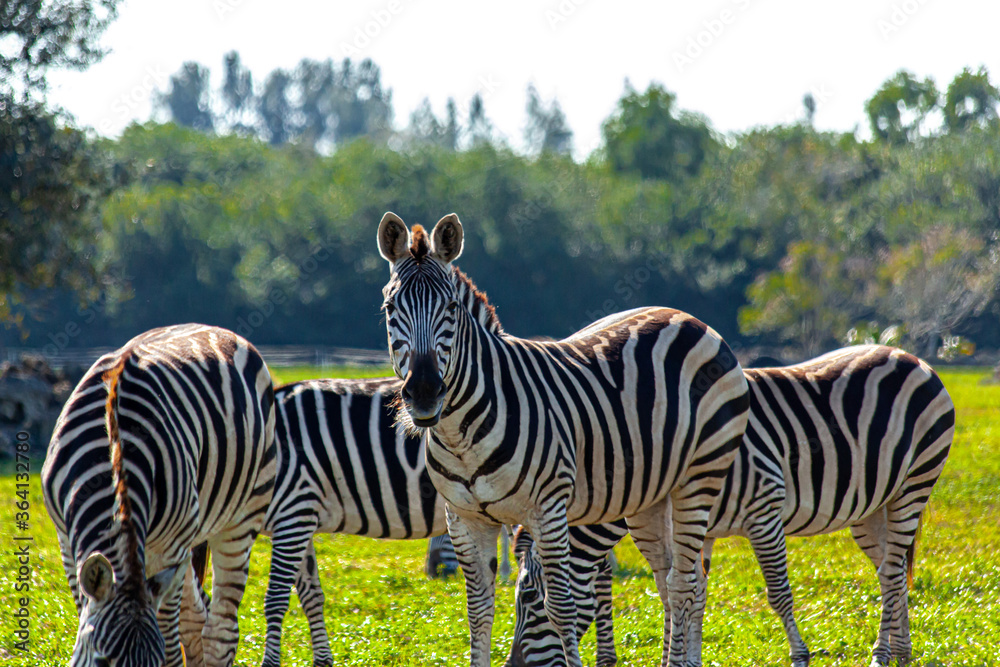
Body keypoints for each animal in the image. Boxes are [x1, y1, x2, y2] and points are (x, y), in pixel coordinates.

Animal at [41, 324, 277, 667]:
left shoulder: (171, 547)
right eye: (101, 660)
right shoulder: (66, 541)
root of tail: (216, 328)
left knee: (220, 629)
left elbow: (169, 645)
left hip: (240, 519)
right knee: (196, 617)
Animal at [376, 212, 751, 667]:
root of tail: (686, 316)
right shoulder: (464, 518)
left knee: (683, 585)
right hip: (651, 497)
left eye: (451, 309)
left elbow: (560, 607)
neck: (462, 433)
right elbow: (477, 610)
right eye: (391, 308)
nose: (425, 391)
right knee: (674, 580)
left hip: (700, 478)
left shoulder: (549, 509)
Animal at [508, 345, 955, 667]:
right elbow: (692, 593)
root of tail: (911, 357)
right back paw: (900, 653)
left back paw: (881, 656)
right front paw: (689, 658)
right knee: (891, 574)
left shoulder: (764, 511)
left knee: (892, 572)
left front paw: (800, 657)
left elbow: (777, 594)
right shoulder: (697, 527)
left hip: (915, 483)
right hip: (871, 508)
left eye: (530, 600)